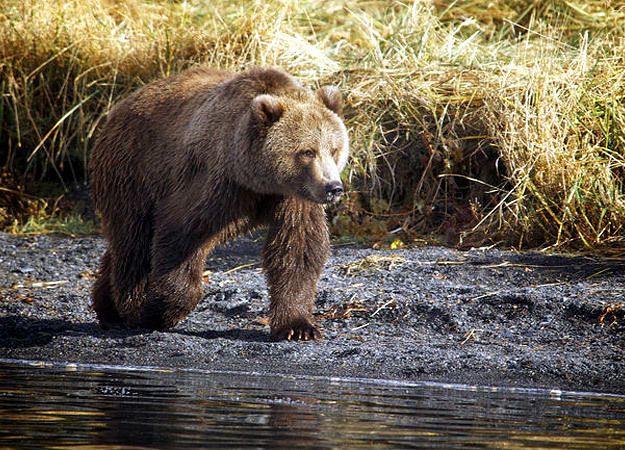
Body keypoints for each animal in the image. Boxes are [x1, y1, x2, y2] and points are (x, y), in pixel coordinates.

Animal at [88, 66, 348, 342]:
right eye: (307, 151)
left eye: (334, 149)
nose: (333, 187)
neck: (258, 179)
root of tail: (120, 106)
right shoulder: (214, 182)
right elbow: (180, 233)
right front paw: (157, 310)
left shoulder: (294, 197)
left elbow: (298, 248)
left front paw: (298, 326)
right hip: (134, 172)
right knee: (133, 242)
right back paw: (127, 308)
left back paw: (109, 309)